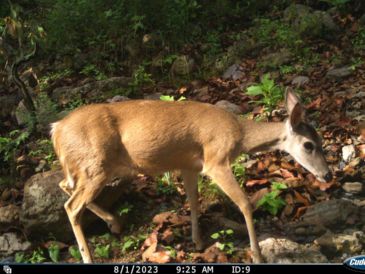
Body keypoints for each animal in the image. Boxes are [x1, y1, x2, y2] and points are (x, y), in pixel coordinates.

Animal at [49, 90, 332, 264]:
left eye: (321, 141)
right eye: (309, 145)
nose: (328, 175)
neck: (239, 134)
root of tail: (56, 129)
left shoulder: (190, 165)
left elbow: (194, 202)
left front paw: (197, 241)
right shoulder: (216, 160)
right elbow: (244, 203)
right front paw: (258, 254)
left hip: (85, 168)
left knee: (64, 185)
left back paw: (114, 222)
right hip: (95, 165)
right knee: (72, 206)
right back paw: (89, 256)